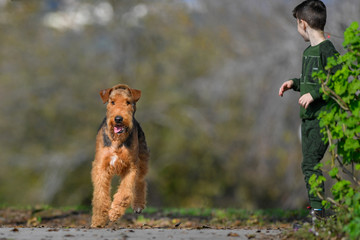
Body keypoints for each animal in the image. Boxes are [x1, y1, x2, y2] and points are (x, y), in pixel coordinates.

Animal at [91, 84, 150, 227]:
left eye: (128, 102)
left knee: (141, 182)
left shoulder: (131, 166)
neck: (117, 140)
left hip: (142, 160)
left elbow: (125, 193)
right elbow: (100, 196)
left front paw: (114, 213)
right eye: (112, 102)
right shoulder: (101, 166)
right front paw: (98, 220)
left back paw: (138, 205)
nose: (118, 119)